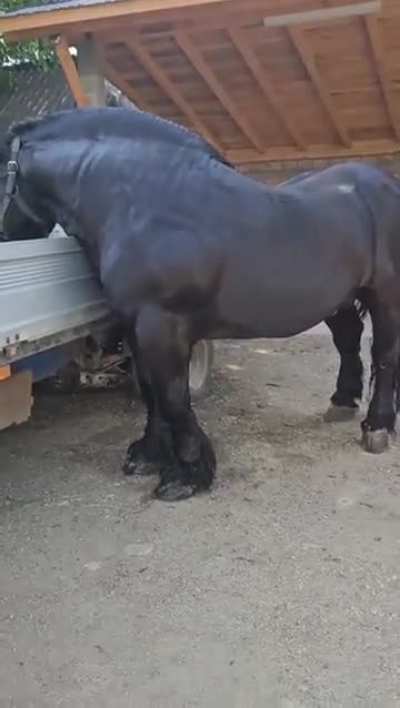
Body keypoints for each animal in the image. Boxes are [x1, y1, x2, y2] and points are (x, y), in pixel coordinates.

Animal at [1, 107, 400, 502]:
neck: (138, 204)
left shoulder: (162, 326)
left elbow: (173, 396)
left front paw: (188, 474)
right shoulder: (135, 327)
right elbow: (151, 391)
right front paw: (149, 455)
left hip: (386, 295)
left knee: (384, 354)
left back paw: (377, 427)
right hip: (339, 299)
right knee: (348, 341)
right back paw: (342, 401)